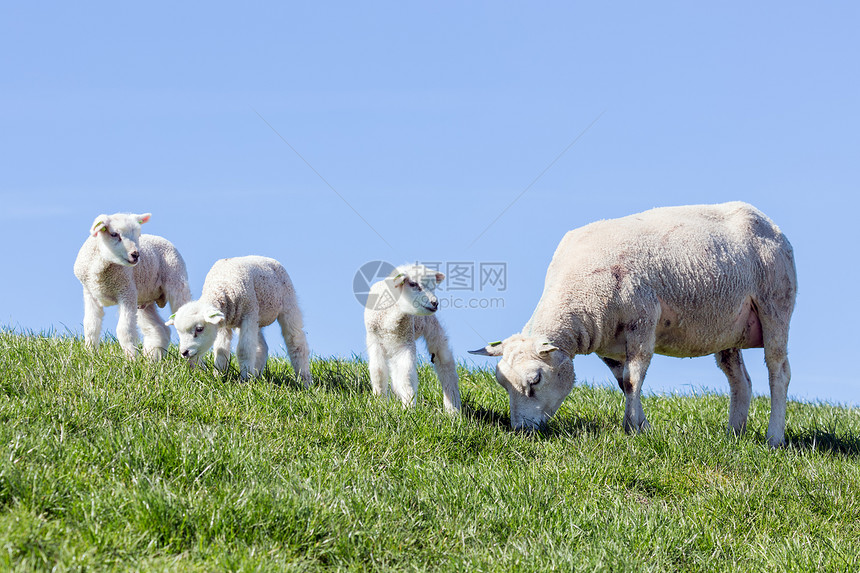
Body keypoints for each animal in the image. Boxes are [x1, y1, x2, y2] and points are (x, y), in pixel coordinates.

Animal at [73, 212, 191, 360]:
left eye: (138, 235)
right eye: (114, 234)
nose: (135, 255)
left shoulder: (126, 292)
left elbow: (124, 330)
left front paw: (131, 359)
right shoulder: (90, 293)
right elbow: (91, 325)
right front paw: (91, 355)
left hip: (176, 281)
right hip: (144, 300)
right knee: (160, 329)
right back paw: (152, 359)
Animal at [165, 256, 312, 384]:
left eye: (199, 329)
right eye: (179, 332)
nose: (184, 352)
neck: (221, 287)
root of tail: (267, 258)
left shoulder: (248, 314)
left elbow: (244, 350)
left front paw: (244, 381)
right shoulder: (224, 323)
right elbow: (221, 351)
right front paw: (219, 376)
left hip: (287, 302)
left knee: (295, 341)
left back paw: (305, 382)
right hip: (256, 317)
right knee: (262, 346)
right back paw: (256, 375)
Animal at [364, 264, 460, 412]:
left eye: (433, 286)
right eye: (413, 284)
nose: (434, 303)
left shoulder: (406, 341)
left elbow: (406, 374)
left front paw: (408, 407)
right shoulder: (374, 340)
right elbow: (378, 372)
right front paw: (380, 402)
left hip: (431, 327)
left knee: (445, 363)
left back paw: (452, 408)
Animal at [470, 201, 800, 446]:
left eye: (535, 380)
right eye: (503, 384)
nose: (521, 432)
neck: (580, 294)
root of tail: (769, 223)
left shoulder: (642, 323)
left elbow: (632, 380)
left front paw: (631, 429)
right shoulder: (608, 344)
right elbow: (623, 383)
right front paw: (642, 425)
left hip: (775, 304)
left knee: (779, 372)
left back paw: (774, 438)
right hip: (728, 328)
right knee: (740, 381)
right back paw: (734, 434)